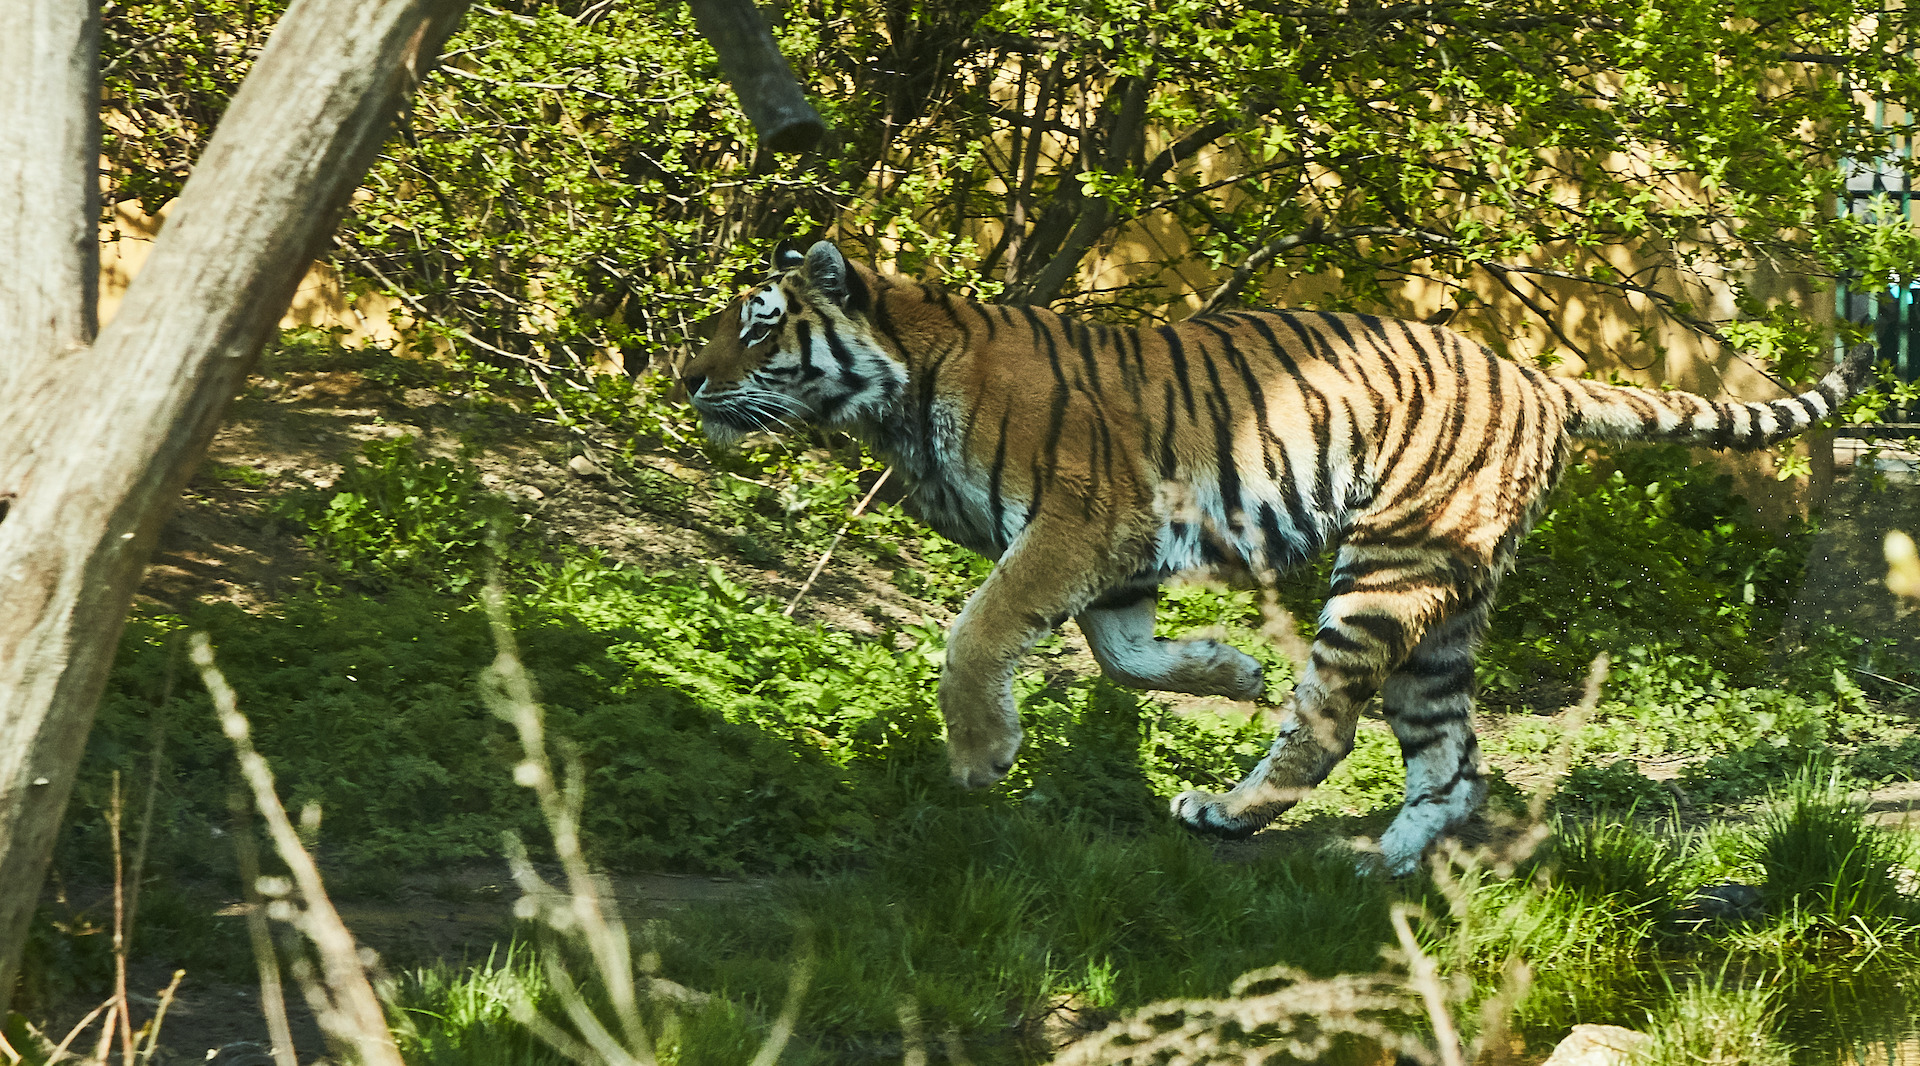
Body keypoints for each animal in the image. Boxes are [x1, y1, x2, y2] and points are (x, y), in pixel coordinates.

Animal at [679, 238, 1873, 872]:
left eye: (760, 324)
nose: (686, 376)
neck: (897, 393)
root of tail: (1537, 375)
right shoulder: (1118, 557)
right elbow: (1123, 657)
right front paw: (1230, 670)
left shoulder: (1077, 521)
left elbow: (978, 634)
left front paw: (980, 759)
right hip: (1445, 606)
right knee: (1454, 752)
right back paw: (1383, 863)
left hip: (1388, 565)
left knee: (1335, 726)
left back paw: (1228, 811)